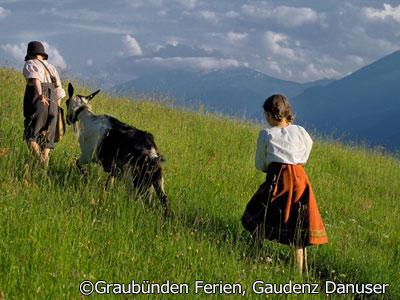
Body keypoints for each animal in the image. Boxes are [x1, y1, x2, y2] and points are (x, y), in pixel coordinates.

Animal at [65, 83, 168, 212]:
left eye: (66, 102)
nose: (67, 120)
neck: (87, 118)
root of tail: (152, 156)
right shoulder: (112, 168)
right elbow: (110, 182)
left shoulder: (86, 155)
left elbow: (78, 164)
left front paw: (87, 180)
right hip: (156, 182)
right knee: (163, 200)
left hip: (133, 180)